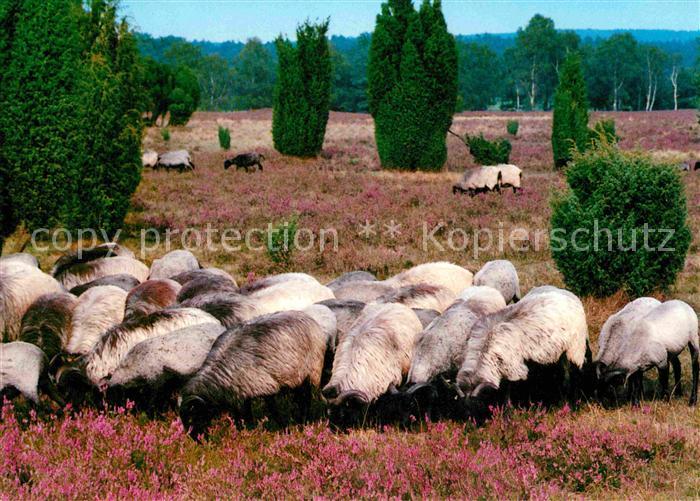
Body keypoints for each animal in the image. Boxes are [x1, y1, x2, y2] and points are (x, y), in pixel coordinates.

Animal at [179, 307, 334, 438]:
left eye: (192, 416)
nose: (197, 440)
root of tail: (308, 318)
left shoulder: (266, 385)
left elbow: (272, 410)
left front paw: (285, 429)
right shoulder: (241, 391)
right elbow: (243, 414)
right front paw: (246, 431)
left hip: (309, 371)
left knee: (305, 398)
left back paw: (302, 421)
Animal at [456, 286, 588, 405]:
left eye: (478, 404)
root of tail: (570, 296)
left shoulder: (513, 367)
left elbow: (508, 388)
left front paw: (508, 407)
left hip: (576, 348)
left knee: (575, 371)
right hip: (562, 350)